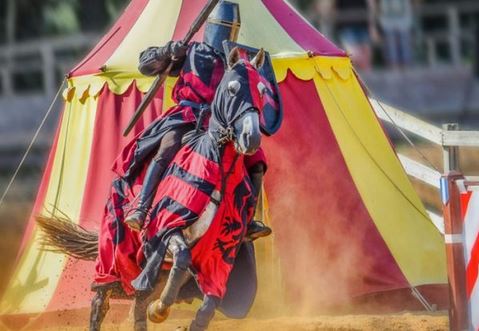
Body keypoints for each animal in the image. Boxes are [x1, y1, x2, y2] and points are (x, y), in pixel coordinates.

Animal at [38, 47, 268, 331]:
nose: (251, 138)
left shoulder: (218, 255)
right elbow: (181, 257)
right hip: (113, 256)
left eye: (262, 90)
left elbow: (208, 305)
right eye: (233, 88)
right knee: (101, 301)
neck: (217, 164)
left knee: (138, 303)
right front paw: (160, 310)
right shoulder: (165, 230)